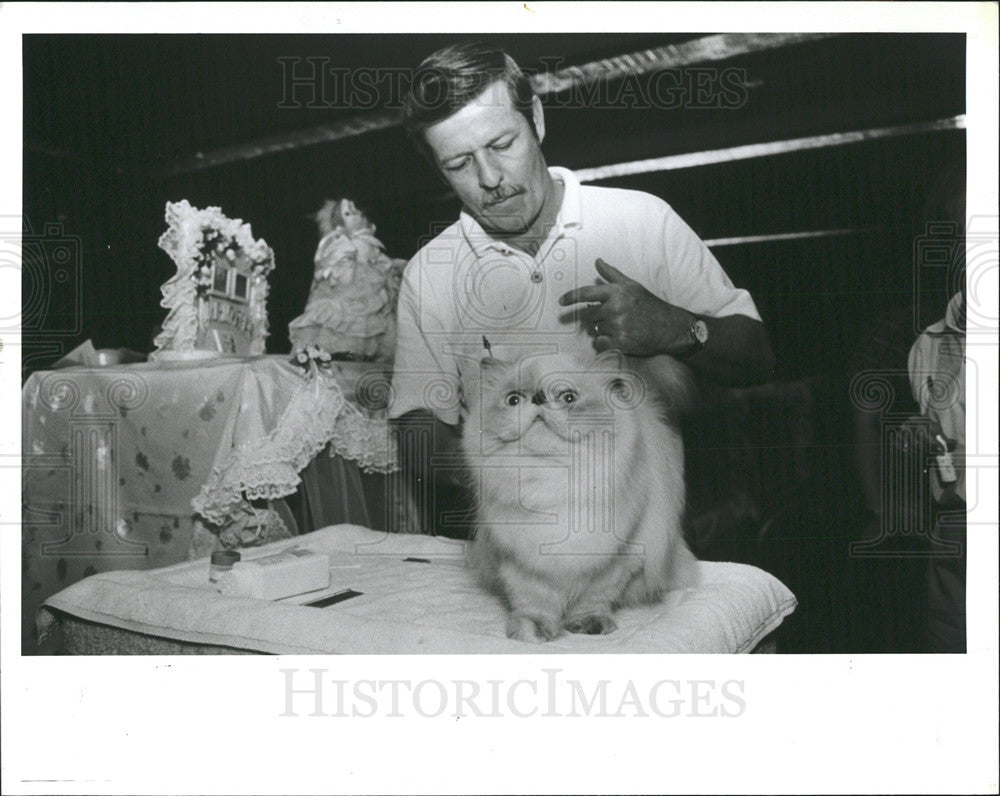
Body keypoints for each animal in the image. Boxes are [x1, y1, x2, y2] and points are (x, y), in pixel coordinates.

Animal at [464, 348, 700, 640]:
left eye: (568, 397)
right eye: (513, 400)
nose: (538, 397)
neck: (551, 479)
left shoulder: (614, 560)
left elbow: (593, 599)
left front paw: (588, 626)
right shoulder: (521, 561)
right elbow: (534, 602)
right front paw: (532, 632)